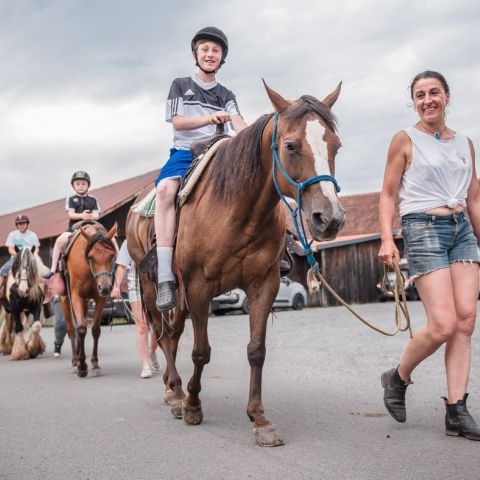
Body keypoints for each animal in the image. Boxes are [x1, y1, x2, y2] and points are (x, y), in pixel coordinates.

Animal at [61, 222, 117, 378]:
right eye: (91, 257)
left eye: (111, 256)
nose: (105, 287)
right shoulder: (76, 296)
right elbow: (80, 329)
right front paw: (81, 366)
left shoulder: (99, 298)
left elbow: (95, 330)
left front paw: (95, 363)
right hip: (65, 300)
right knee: (72, 330)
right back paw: (75, 361)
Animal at [127, 82, 344, 446]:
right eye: (291, 145)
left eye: (336, 147)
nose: (329, 219)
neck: (237, 208)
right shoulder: (199, 288)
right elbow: (201, 351)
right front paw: (193, 405)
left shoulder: (264, 285)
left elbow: (256, 350)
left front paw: (259, 419)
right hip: (156, 288)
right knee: (162, 333)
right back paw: (176, 394)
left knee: (172, 335)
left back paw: (174, 391)